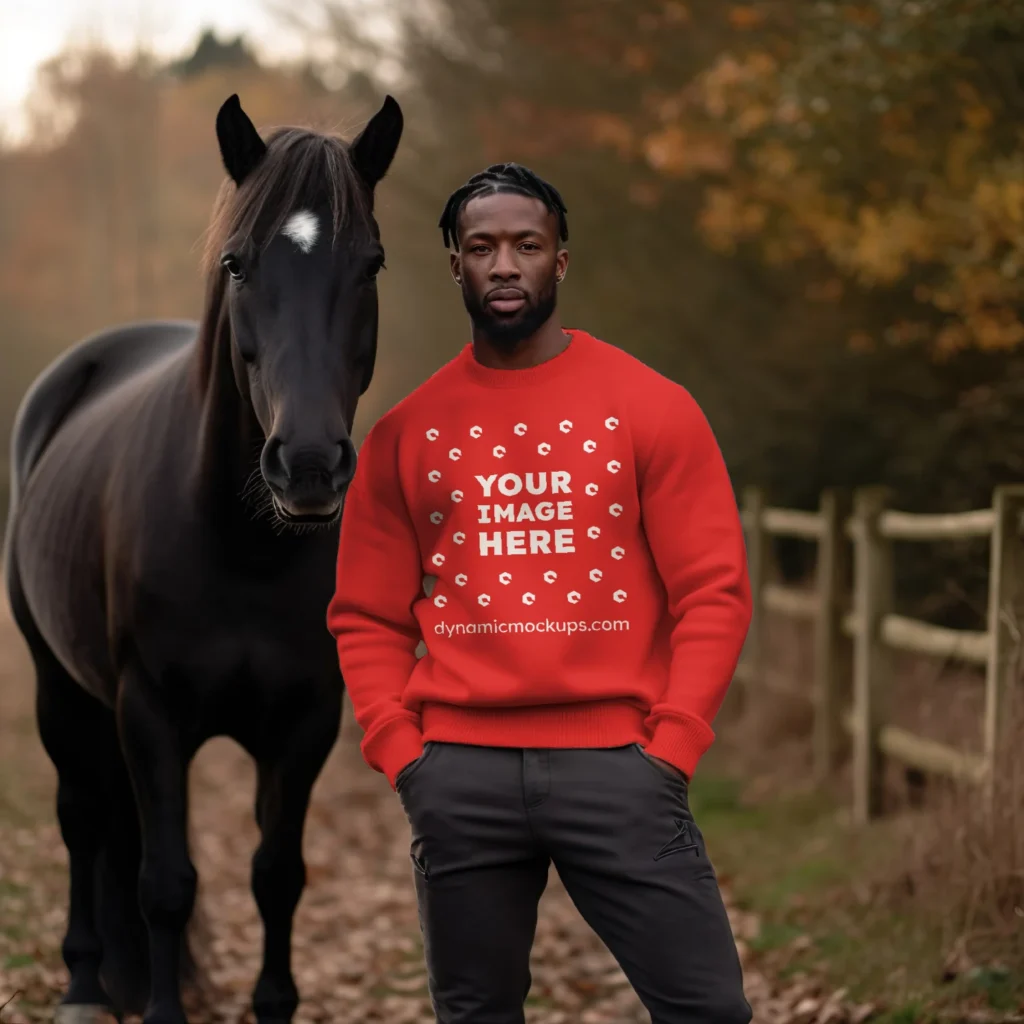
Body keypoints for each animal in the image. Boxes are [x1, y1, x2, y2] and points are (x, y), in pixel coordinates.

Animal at [4, 92, 403, 1019]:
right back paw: (85, 984)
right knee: (83, 817)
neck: (240, 547)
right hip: (59, 688)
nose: (308, 464)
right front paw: (159, 1006)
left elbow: (277, 877)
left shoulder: (305, 723)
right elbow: (166, 884)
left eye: (371, 264)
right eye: (237, 263)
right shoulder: (150, 715)